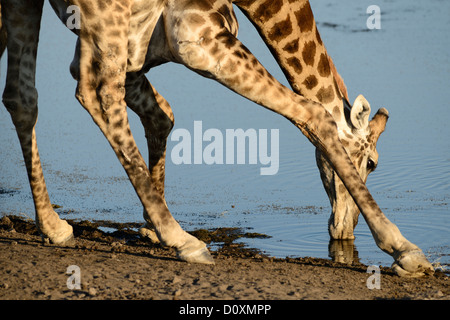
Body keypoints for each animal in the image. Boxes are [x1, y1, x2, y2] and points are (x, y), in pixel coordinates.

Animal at [0, 0, 434, 278]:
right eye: (373, 163)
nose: (343, 229)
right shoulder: (198, 40)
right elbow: (314, 114)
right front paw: (405, 250)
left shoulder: (143, 44)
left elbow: (162, 115)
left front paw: (151, 225)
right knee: (96, 92)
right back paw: (185, 241)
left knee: (22, 95)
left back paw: (54, 225)